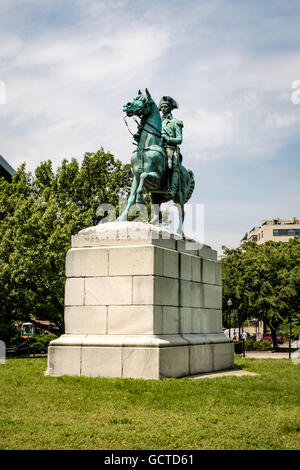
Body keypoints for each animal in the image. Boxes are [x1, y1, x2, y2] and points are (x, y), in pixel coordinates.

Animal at [118, 87, 196, 233]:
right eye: (134, 98)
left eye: (143, 100)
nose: (127, 105)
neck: (145, 147)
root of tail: (188, 172)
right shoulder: (135, 177)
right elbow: (131, 197)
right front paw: (121, 217)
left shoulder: (156, 176)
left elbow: (144, 175)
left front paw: (140, 199)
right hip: (155, 196)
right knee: (157, 213)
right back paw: (150, 224)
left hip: (179, 196)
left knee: (182, 212)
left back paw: (178, 232)